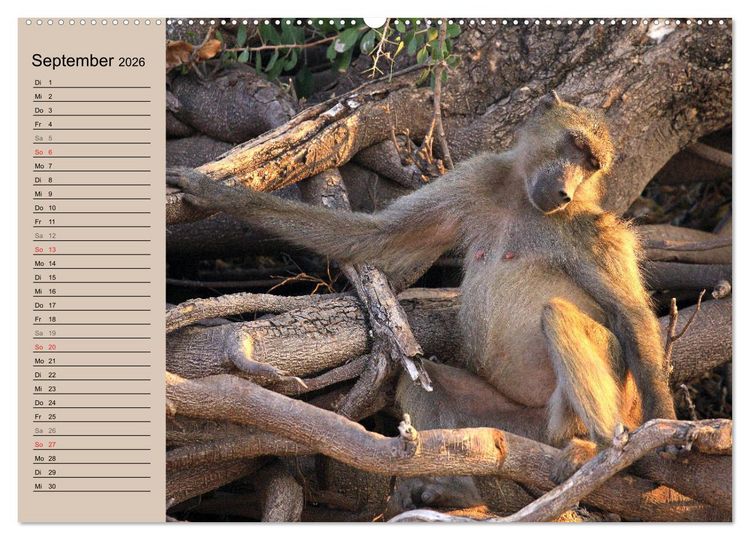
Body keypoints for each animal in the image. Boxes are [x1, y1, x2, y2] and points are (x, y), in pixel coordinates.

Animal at [170, 92, 676, 510]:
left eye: (592, 164)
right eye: (573, 145)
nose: (565, 191)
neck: (521, 201)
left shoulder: (590, 227)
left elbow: (630, 314)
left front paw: (667, 428)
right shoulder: (477, 178)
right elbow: (375, 235)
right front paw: (216, 193)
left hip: (597, 402)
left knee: (559, 317)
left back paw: (598, 449)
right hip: (516, 424)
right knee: (422, 378)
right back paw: (453, 488)